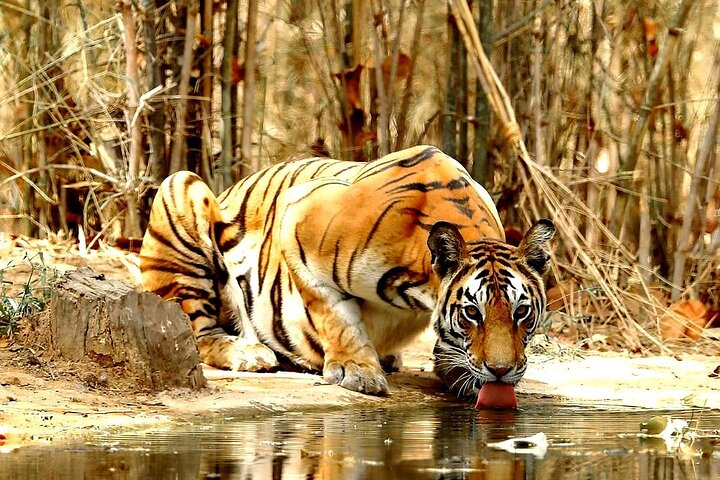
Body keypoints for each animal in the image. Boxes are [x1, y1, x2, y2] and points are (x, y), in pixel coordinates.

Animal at [139, 145, 555, 398]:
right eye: (472, 313)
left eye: (521, 312)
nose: (501, 371)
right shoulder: (297, 220)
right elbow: (336, 316)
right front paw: (359, 372)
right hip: (181, 189)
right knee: (197, 333)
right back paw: (248, 352)